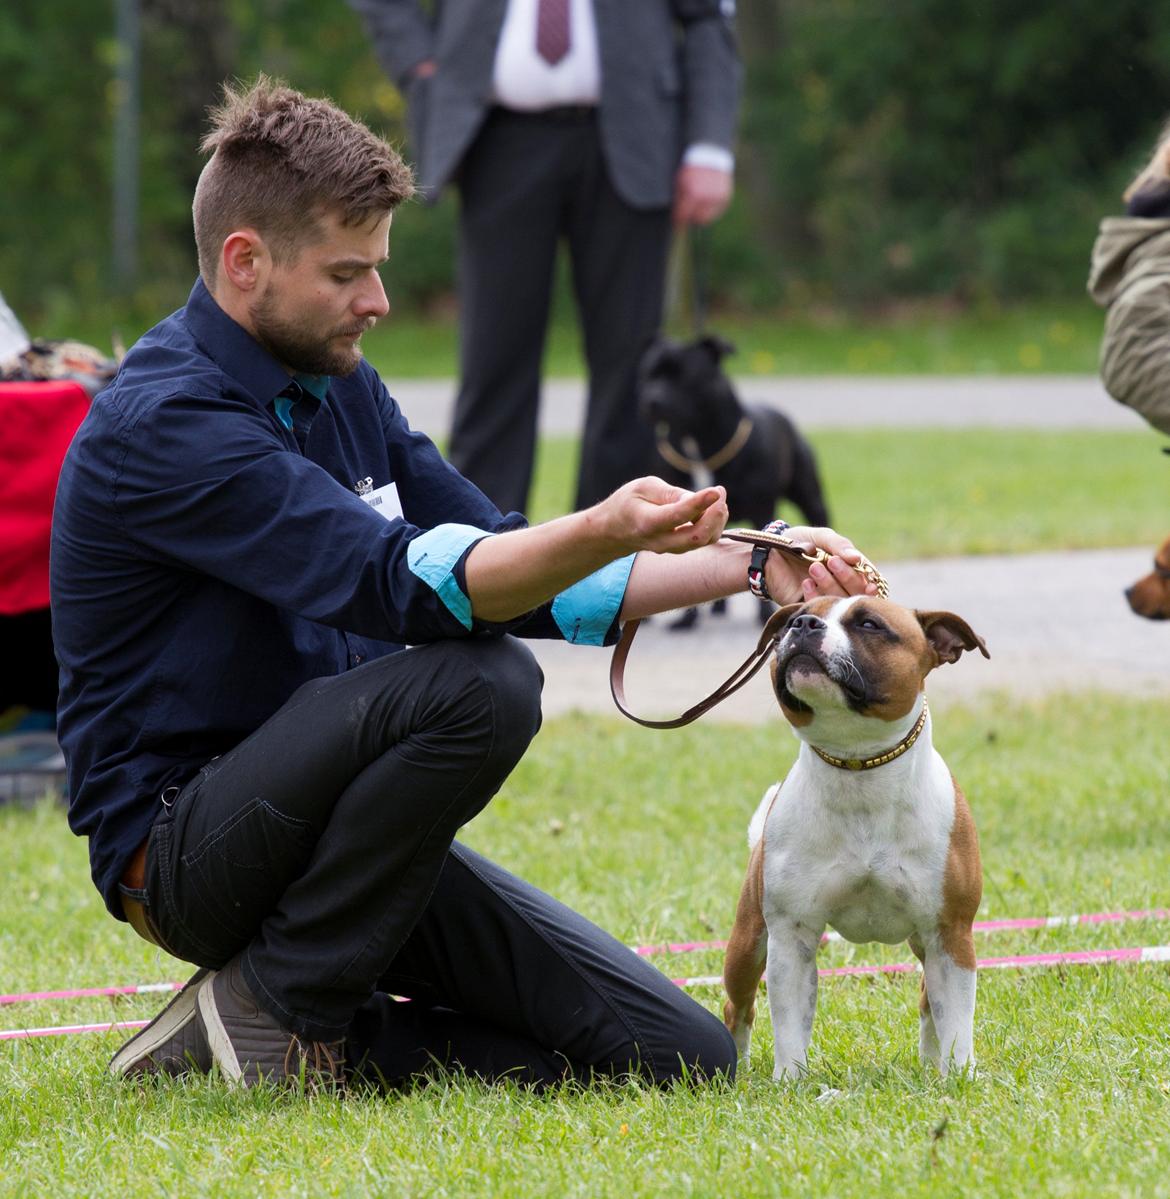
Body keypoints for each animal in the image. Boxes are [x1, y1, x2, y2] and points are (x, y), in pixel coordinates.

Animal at [637, 330, 829, 628]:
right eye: (648, 374)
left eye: (685, 377)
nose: (651, 399)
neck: (698, 444)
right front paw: (687, 619)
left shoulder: (761, 507)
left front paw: (764, 614)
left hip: (809, 494)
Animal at [724, 594, 987, 1083]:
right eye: (791, 619)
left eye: (869, 624)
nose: (804, 625)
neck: (859, 765)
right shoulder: (791, 936)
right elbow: (790, 1024)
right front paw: (790, 1083)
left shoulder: (950, 933)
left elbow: (957, 1019)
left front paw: (959, 1075)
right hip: (748, 943)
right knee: (739, 1008)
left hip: (926, 942)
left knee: (929, 999)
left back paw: (932, 1065)